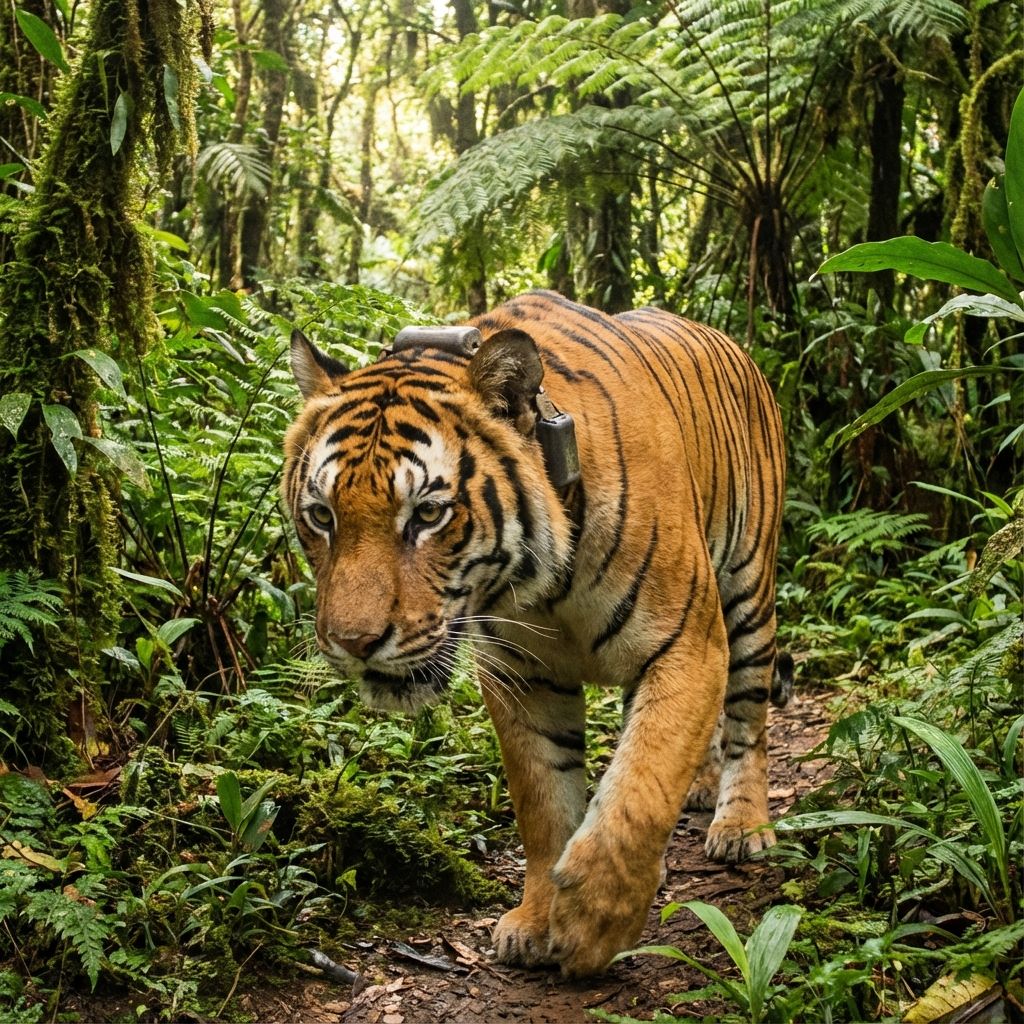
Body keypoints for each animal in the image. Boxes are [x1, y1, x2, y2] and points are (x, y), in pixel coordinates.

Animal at [282, 290, 786, 978]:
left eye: (428, 514)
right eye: (321, 515)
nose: (353, 644)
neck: (538, 586)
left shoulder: (688, 644)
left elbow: (642, 785)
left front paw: (595, 921)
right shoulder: (520, 676)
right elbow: (545, 801)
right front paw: (537, 920)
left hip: (747, 593)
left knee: (747, 720)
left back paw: (741, 825)